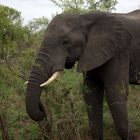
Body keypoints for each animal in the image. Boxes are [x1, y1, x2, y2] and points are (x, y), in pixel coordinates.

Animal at [25, 9, 140, 140]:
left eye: (65, 41)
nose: (41, 106)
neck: (83, 18)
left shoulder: (120, 52)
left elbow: (115, 94)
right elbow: (91, 94)